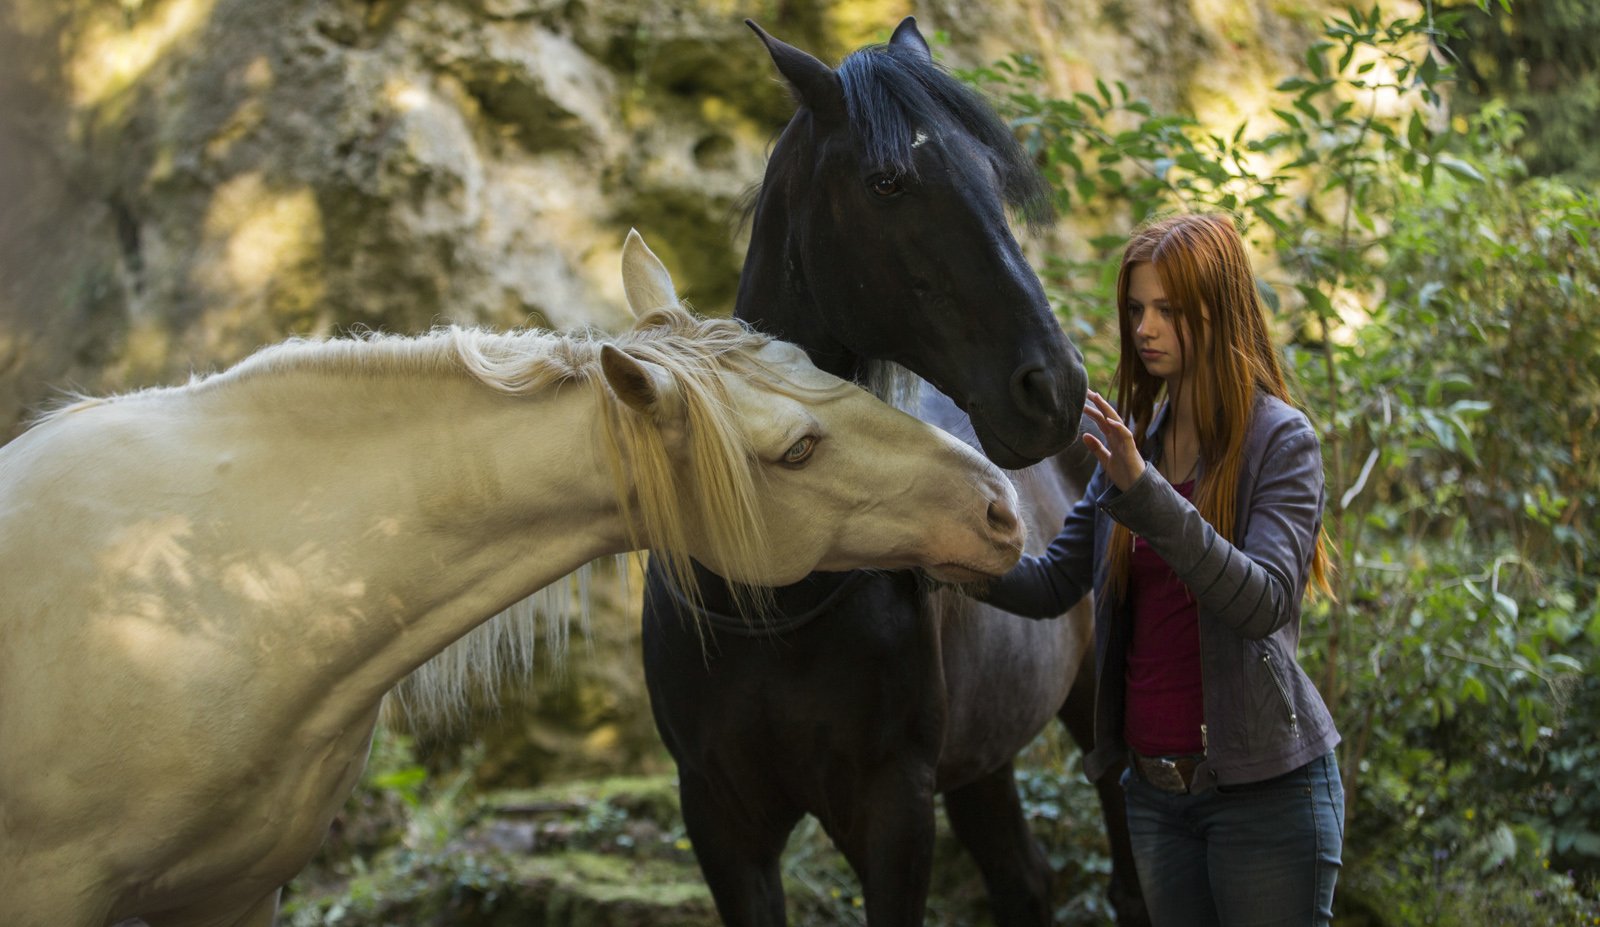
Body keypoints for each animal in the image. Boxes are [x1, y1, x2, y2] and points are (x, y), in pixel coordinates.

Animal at [640, 16, 1152, 927]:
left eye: (992, 176)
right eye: (887, 183)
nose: (1055, 389)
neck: (773, 600)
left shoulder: (893, 810)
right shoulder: (719, 819)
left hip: (1098, 713)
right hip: (983, 759)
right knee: (1023, 879)